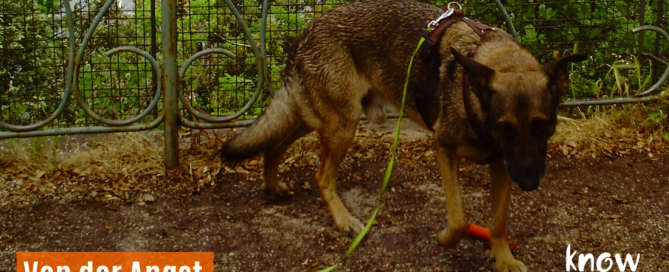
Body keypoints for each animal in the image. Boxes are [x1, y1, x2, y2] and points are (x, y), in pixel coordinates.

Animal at [220, 1, 584, 270]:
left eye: (542, 126)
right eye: (504, 127)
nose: (530, 183)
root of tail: (305, 32)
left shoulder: (501, 165)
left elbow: (498, 223)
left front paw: (504, 260)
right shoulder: (446, 150)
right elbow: (460, 218)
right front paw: (446, 239)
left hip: (317, 118)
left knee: (274, 146)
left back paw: (272, 186)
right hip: (341, 126)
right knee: (321, 175)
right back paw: (343, 220)